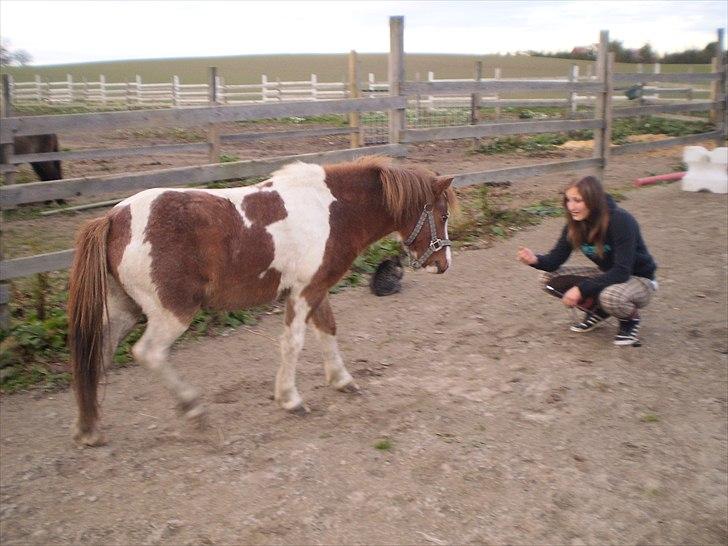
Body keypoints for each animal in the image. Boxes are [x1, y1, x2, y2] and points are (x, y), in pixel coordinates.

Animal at [68, 155, 456, 444]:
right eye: (443, 213)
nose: (443, 263)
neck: (332, 210)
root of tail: (113, 218)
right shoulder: (304, 292)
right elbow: (294, 343)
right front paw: (290, 398)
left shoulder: (316, 288)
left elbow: (328, 330)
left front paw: (342, 380)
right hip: (171, 313)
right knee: (148, 353)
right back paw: (193, 409)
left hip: (124, 310)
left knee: (97, 355)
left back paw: (90, 429)